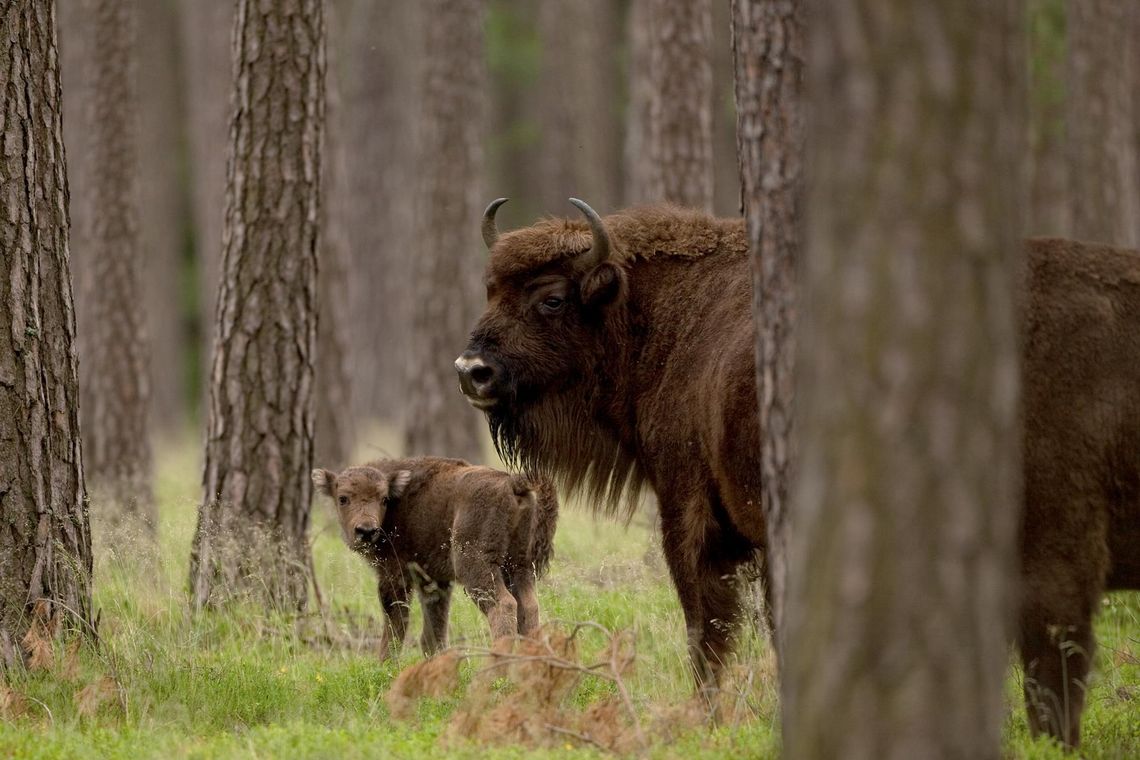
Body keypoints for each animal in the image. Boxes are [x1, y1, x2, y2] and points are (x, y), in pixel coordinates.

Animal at [312, 458, 560, 660]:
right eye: (343, 498)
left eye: (383, 499)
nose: (366, 530)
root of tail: (512, 482)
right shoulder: (434, 580)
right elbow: (434, 628)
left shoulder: (394, 574)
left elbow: (396, 621)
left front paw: (385, 664)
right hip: (519, 566)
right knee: (529, 606)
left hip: (476, 567)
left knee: (504, 605)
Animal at [453, 198, 1140, 747]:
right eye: (488, 290)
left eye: (551, 298)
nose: (471, 371)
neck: (656, 314)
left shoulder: (691, 514)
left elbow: (708, 626)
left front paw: (708, 718)